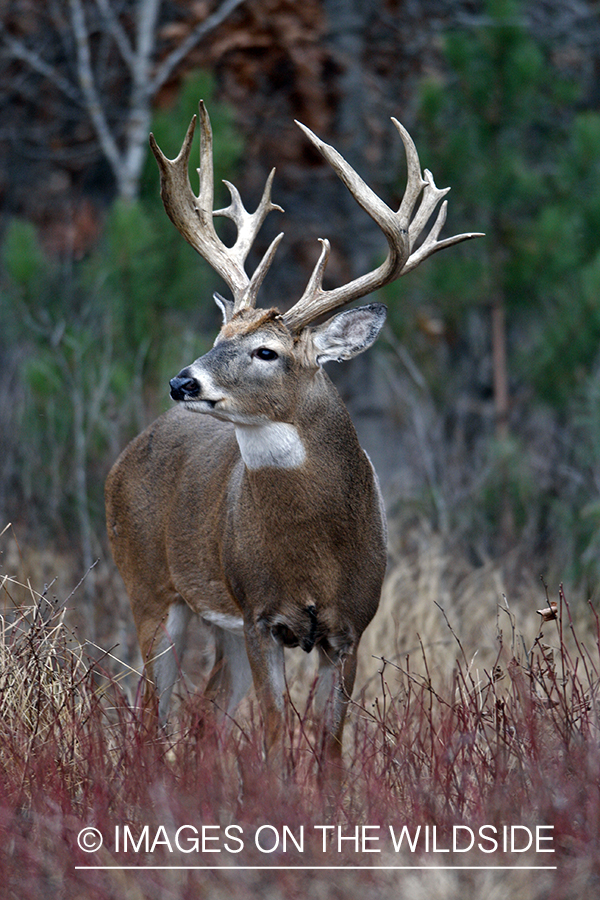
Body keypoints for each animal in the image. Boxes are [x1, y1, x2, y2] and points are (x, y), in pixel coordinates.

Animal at [105, 103, 482, 768]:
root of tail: (123, 458)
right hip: (149, 585)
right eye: (218, 335)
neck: (312, 555)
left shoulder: (349, 627)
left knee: (205, 713)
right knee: (152, 711)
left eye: (266, 351)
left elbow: (329, 750)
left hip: (216, 621)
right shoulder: (260, 616)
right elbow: (278, 736)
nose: (182, 381)